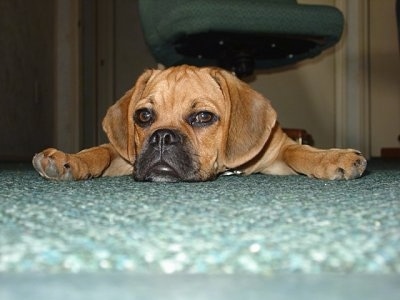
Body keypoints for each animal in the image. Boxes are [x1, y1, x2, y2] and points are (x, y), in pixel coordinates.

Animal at [32, 65, 368, 182]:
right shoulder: (127, 157)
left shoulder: (279, 151)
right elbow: (100, 151)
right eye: (144, 116)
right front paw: (68, 161)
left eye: (203, 117)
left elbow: (300, 151)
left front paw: (334, 158)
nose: (162, 137)